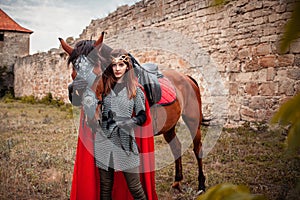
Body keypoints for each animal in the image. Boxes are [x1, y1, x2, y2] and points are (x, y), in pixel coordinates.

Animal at [60, 32, 207, 194]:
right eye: (74, 76)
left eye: (98, 74)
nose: (92, 119)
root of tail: (187, 78)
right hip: (169, 126)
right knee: (176, 147)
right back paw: (177, 182)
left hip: (193, 121)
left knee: (197, 148)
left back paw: (201, 185)